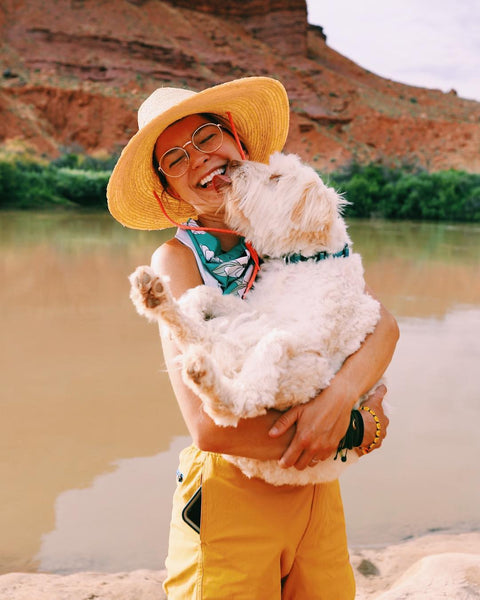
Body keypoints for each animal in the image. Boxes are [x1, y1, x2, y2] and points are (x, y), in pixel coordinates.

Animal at [129, 152, 380, 486]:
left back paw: (199, 367)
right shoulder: (254, 307)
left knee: (238, 400)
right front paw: (190, 302)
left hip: (297, 365)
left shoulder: (305, 333)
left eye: (276, 178)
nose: (234, 165)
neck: (304, 261)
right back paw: (158, 299)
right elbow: (207, 295)